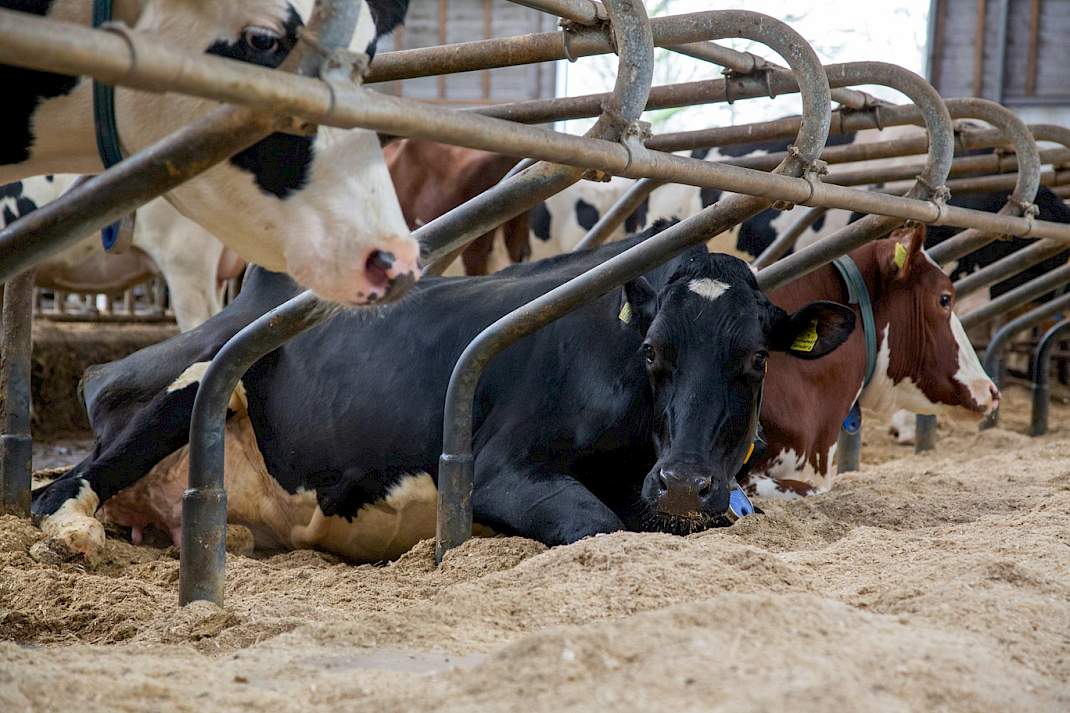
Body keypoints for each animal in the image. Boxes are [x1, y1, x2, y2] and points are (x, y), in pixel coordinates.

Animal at [29, 223, 855, 559]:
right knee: (61, 487)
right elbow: (599, 526)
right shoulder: (499, 468)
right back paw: (75, 539)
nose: (682, 480)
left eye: (755, 360)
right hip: (185, 391)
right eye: (652, 351)